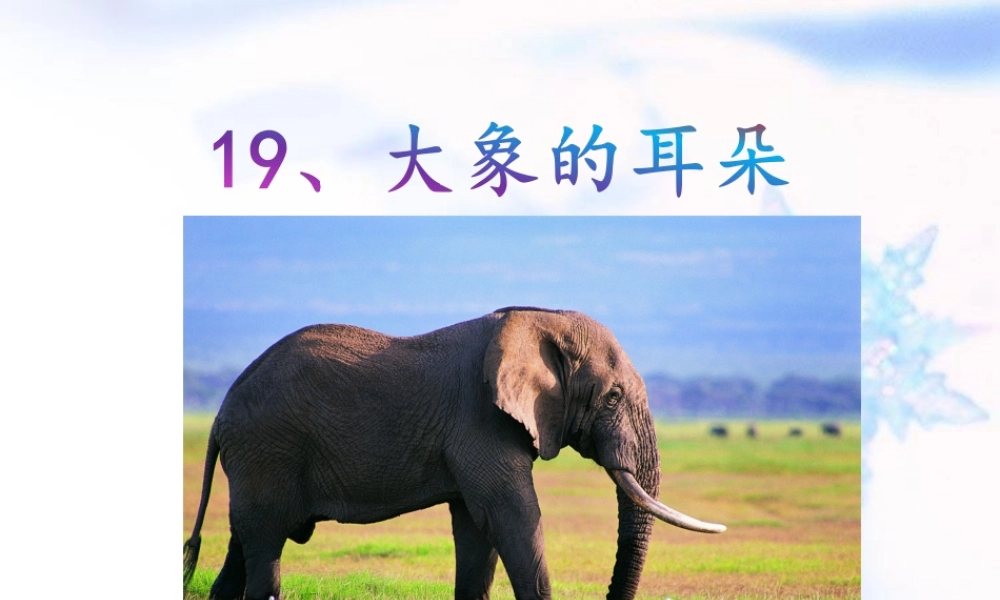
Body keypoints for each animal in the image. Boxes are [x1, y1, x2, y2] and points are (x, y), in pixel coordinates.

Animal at [183, 307, 725, 600]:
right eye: (612, 398)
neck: (539, 318)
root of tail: (219, 415)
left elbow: (476, 529)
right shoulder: (480, 419)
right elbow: (512, 516)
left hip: (257, 460)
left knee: (242, 546)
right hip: (267, 450)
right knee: (264, 554)